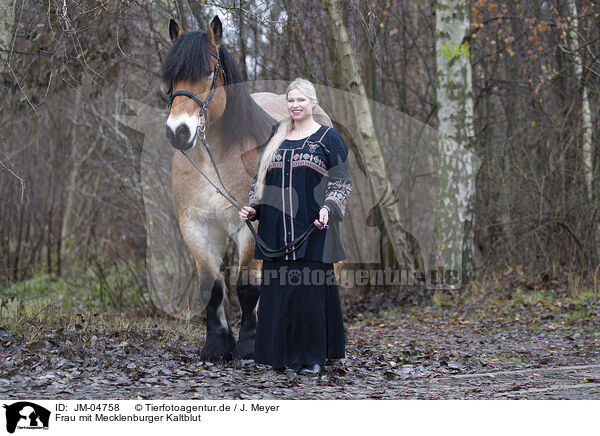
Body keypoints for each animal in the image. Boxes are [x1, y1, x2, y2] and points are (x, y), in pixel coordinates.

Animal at [162, 15, 330, 362]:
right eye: (170, 75)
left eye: (208, 72)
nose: (178, 131)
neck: (215, 158)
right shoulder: (196, 227)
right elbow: (212, 288)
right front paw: (217, 345)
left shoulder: (249, 226)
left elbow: (247, 286)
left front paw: (249, 346)